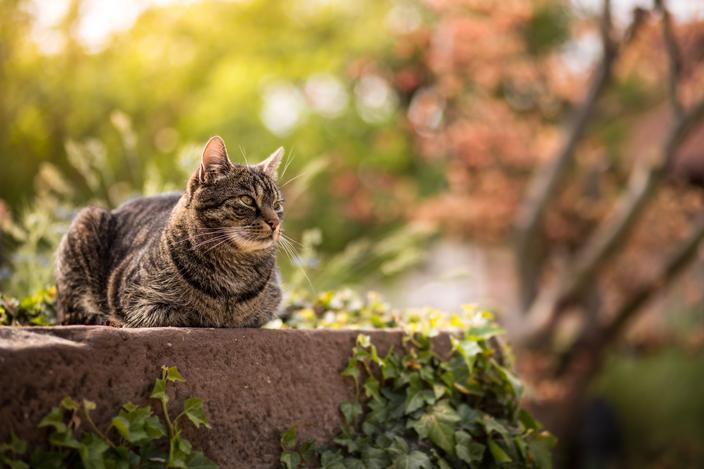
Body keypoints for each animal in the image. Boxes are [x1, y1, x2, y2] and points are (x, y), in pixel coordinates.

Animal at [55, 135, 284, 326]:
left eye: (277, 204)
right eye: (247, 200)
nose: (275, 222)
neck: (234, 273)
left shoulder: (269, 309)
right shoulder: (138, 301)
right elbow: (183, 314)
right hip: (86, 221)